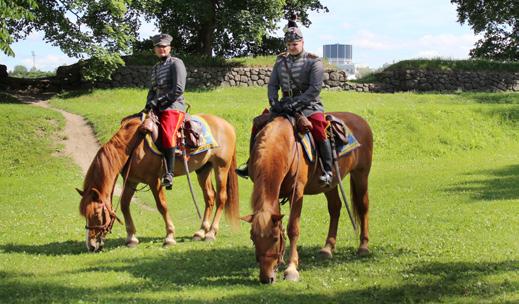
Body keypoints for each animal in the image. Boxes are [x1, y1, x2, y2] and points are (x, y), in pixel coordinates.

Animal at [76, 113, 240, 252]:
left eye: (97, 214)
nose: (91, 245)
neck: (133, 146)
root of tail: (227, 125)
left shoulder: (154, 180)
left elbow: (162, 206)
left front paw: (169, 237)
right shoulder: (131, 182)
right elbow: (124, 205)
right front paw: (131, 238)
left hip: (221, 168)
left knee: (221, 198)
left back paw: (211, 233)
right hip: (203, 169)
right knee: (209, 197)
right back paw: (200, 232)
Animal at [242, 111, 372, 282]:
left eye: (275, 238)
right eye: (253, 238)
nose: (266, 278)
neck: (285, 145)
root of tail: (361, 120)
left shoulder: (297, 192)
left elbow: (293, 228)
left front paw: (291, 269)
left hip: (361, 174)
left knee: (363, 207)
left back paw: (363, 246)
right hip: (330, 185)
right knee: (335, 208)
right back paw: (327, 248)